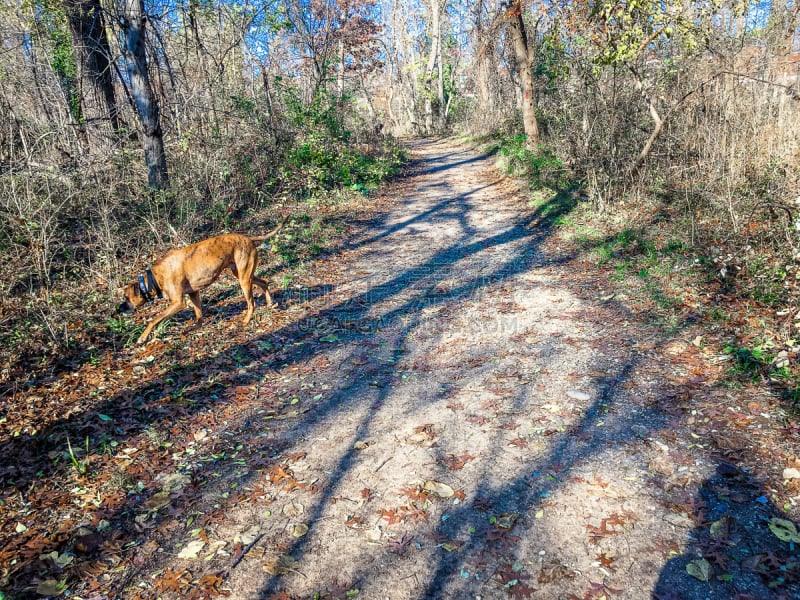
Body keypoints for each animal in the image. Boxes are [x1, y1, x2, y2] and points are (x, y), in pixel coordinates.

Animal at [119, 218, 288, 344]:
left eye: (126, 297)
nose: (120, 308)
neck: (155, 278)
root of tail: (248, 238)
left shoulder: (178, 303)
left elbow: (154, 320)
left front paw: (142, 337)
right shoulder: (194, 293)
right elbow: (199, 316)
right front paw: (191, 329)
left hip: (244, 280)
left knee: (251, 303)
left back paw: (246, 320)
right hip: (242, 274)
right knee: (264, 282)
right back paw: (270, 303)